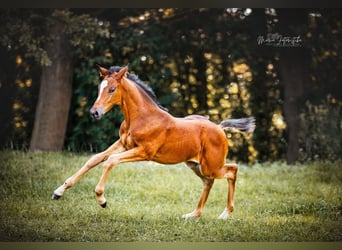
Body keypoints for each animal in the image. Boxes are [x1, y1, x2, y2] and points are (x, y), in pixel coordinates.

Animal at [52, 65, 254, 219]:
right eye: (99, 88)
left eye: (112, 89)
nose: (95, 113)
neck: (141, 117)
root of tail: (219, 128)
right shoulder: (122, 144)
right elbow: (94, 159)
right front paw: (58, 192)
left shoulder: (144, 152)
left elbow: (110, 161)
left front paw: (102, 200)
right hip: (195, 164)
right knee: (208, 182)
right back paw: (193, 215)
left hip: (211, 165)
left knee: (232, 170)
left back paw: (224, 214)